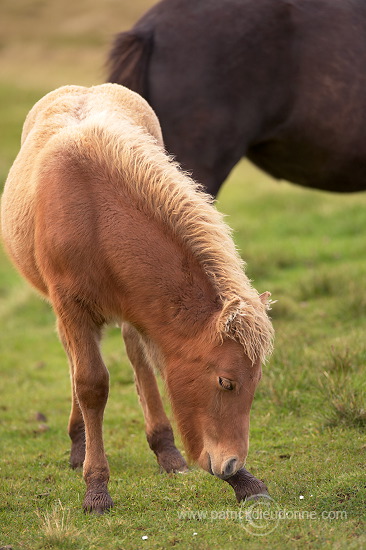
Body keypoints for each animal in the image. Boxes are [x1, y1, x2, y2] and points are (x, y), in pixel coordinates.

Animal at [1, 84, 274, 516]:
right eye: (225, 382)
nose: (231, 462)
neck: (95, 213)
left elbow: (154, 367)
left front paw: (244, 482)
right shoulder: (72, 308)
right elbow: (91, 385)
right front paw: (96, 489)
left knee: (139, 360)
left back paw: (165, 449)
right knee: (77, 360)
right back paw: (79, 443)